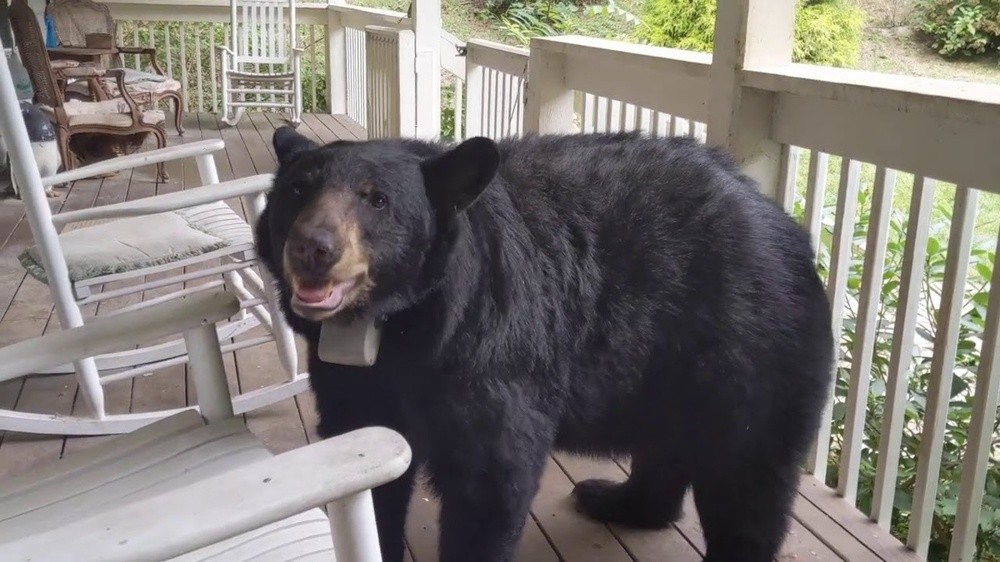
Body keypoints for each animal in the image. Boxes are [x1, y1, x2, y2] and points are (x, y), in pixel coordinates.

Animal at [254, 128, 832, 562]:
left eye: (377, 199)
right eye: (298, 190)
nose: (313, 247)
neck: (395, 328)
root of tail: (788, 227)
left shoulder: (491, 352)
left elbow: (490, 480)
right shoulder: (351, 377)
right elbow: (369, 470)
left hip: (750, 347)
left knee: (747, 479)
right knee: (669, 443)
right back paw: (621, 500)